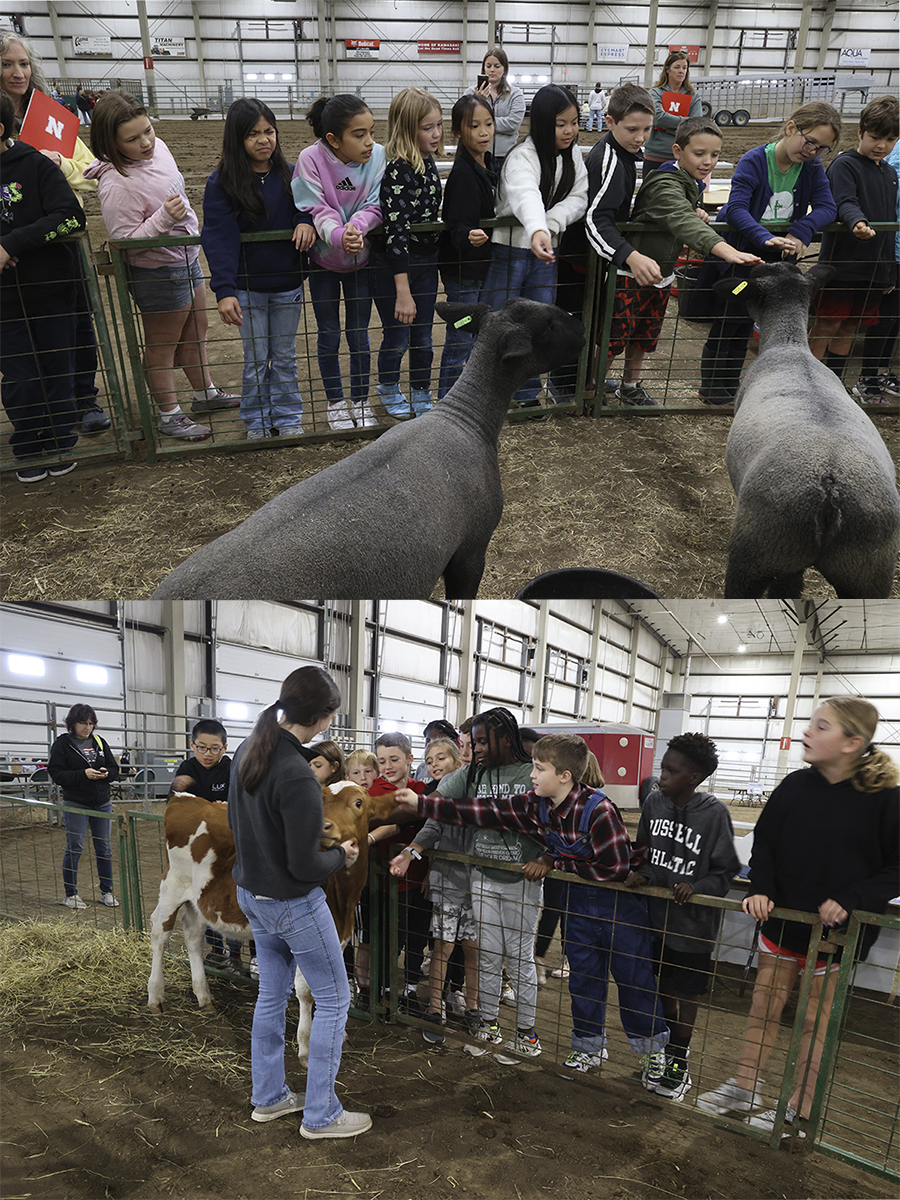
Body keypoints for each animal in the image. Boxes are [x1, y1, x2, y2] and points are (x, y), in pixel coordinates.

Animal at [147, 782, 398, 1056]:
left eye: (358, 803)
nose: (324, 826)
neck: (341, 896)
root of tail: (184, 798)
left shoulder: (338, 935)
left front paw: (339, 1036)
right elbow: (307, 991)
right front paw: (306, 1045)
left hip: (199, 899)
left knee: (192, 935)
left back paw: (204, 996)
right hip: (172, 886)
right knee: (160, 933)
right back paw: (156, 996)